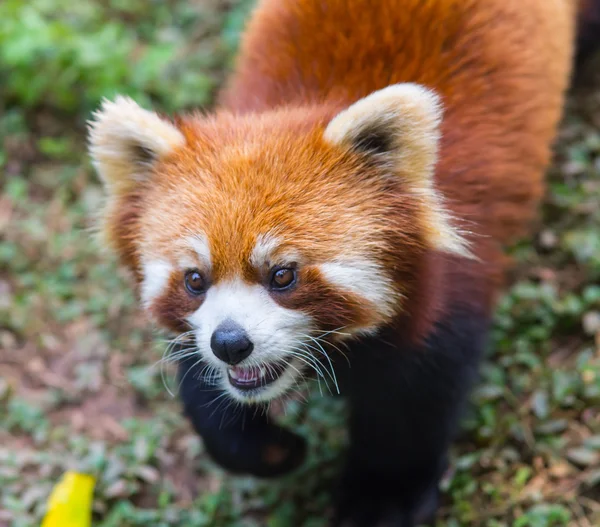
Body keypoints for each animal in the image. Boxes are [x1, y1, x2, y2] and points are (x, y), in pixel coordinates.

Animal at [88, 1, 596, 527]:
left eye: (283, 275)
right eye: (194, 279)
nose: (230, 343)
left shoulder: (449, 287)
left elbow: (414, 398)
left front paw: (383, 495)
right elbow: (199, 375)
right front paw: (265, 450)